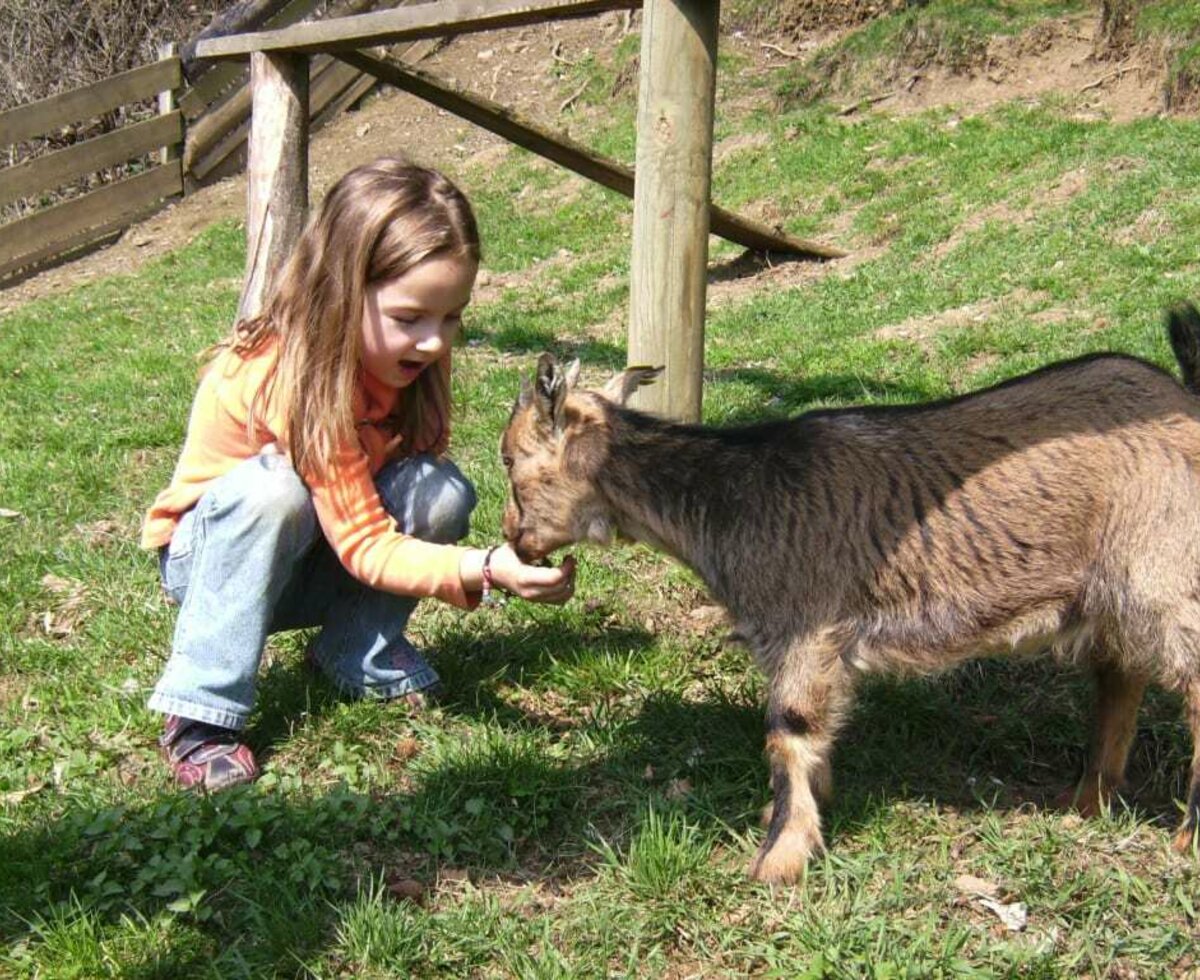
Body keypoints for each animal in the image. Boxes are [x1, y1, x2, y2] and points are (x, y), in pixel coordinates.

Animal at [499, 303, 1200, 878]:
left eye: (508, 459)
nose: (512, 538)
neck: (731, 498)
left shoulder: (807, 626)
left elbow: (789, 729)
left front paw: (780, 857)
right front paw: (797, 813)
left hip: (1160, 572)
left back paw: (1183, 837)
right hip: (1111, 590)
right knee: (1120, 675)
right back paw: (1087, 798)